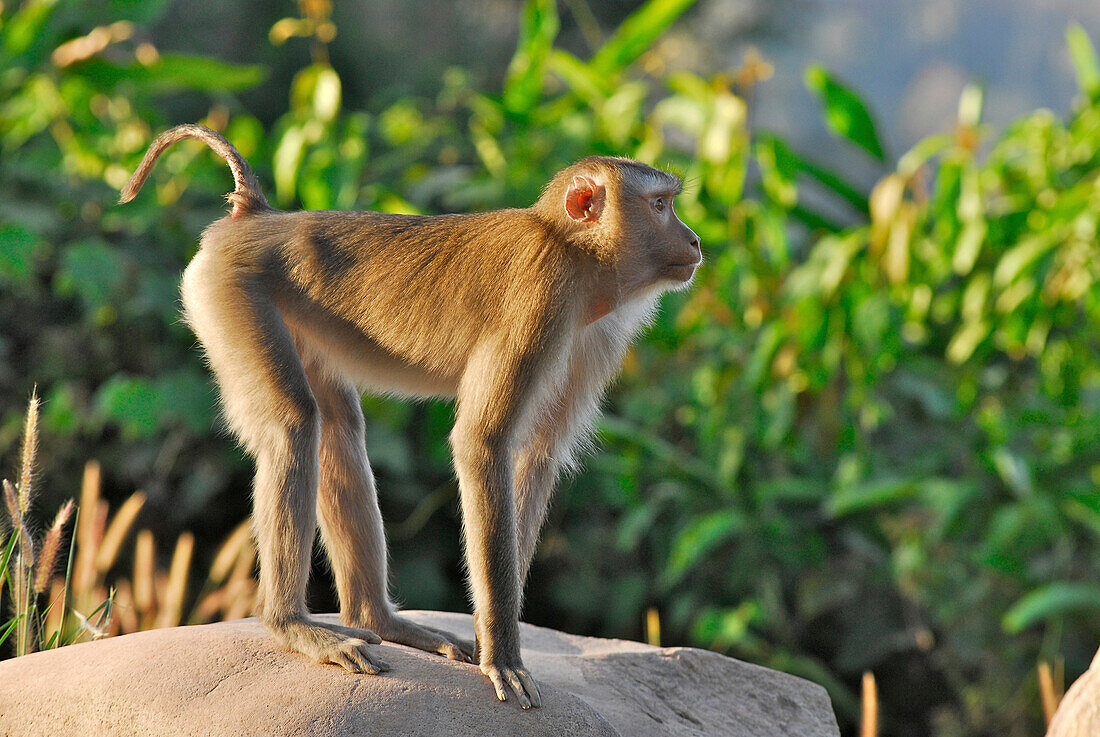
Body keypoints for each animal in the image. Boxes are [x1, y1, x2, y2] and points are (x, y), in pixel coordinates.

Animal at [120, 122, 699, 708]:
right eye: (660, 205)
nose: (695, 240)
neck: (575, 253)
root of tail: (256, 217)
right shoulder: (542, 297)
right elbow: (482, 443)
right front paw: (503, 654)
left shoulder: (596, 333)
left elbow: (536, 456)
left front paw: (492, 635)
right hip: (234, 292)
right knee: (294, 425)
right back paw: (291, 625)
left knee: (337, 429)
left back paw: (379, 621)